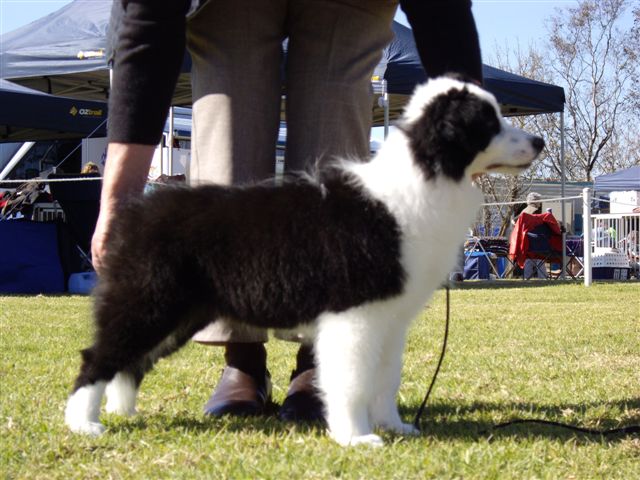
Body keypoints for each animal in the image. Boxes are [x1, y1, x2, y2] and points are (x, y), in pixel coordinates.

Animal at [65, 75, 544, 447]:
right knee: (99, 356)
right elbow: (352, 380)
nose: (539, 140)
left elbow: (385, 377)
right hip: (149, 300)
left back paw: (122, 410)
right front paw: (357, 437)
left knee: (130, 362)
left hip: (179, 312)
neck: (425, 173)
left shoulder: (390, 319)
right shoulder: (354, 314)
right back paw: (83, 423)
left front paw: (394, 426)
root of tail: (136, 211)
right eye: (488, 122)